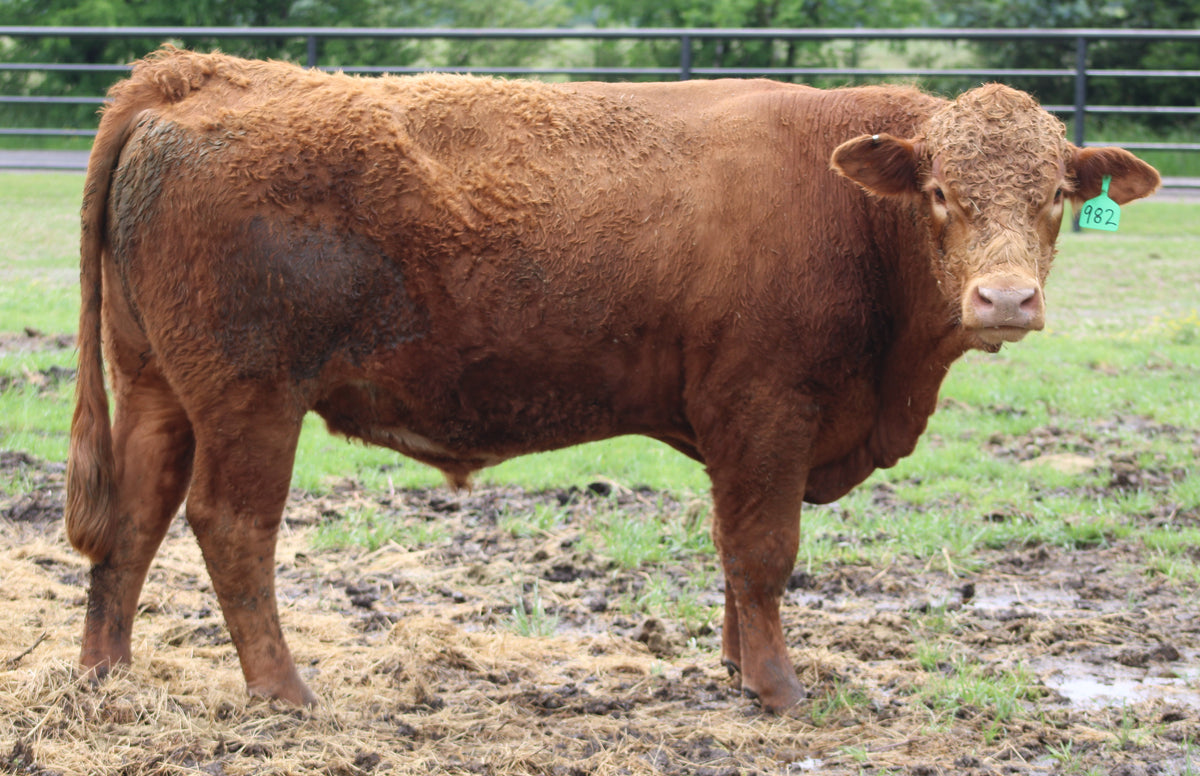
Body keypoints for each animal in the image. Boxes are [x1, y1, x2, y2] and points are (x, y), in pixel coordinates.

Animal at [66, 46, 1160, 713]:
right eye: (938, 191)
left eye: (1057, 195)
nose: (1006, 299)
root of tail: (197, 75)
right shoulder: (766, 409)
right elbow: (763, 550)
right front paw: (779, 689)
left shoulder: (744, 430)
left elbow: (733, 553)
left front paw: (737, 666)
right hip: (251, 396)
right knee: (230, 527)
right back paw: (285, 693)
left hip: (159, 385)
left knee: (135, 519)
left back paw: (107, 678)